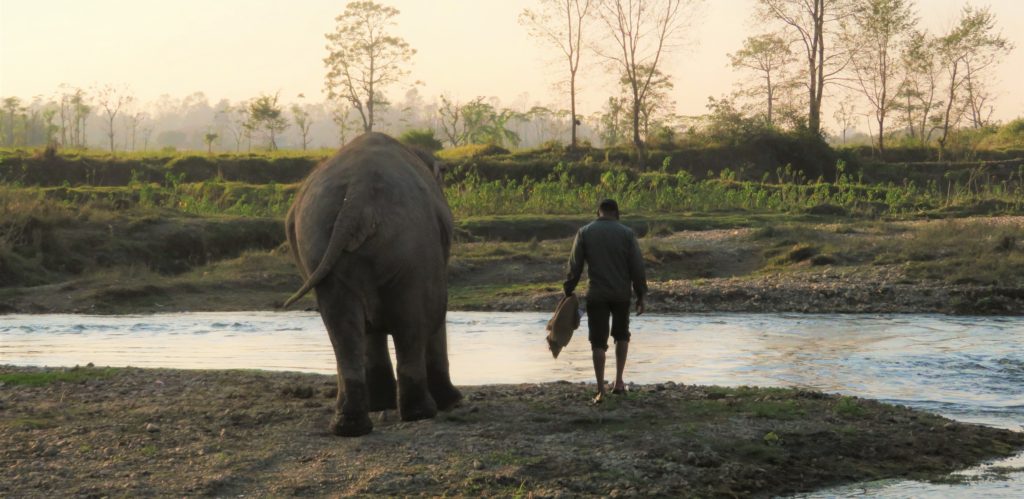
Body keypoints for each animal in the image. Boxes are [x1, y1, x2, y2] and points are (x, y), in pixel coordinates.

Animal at [282, 132, 461, 436]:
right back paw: (421, 413)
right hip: (412, 247)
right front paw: (453, 402)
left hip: (319, 239)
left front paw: (381, 404)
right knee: (413, 318)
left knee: (342, 321)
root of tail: (357, 194)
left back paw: (351, 425)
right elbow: (436, 312)